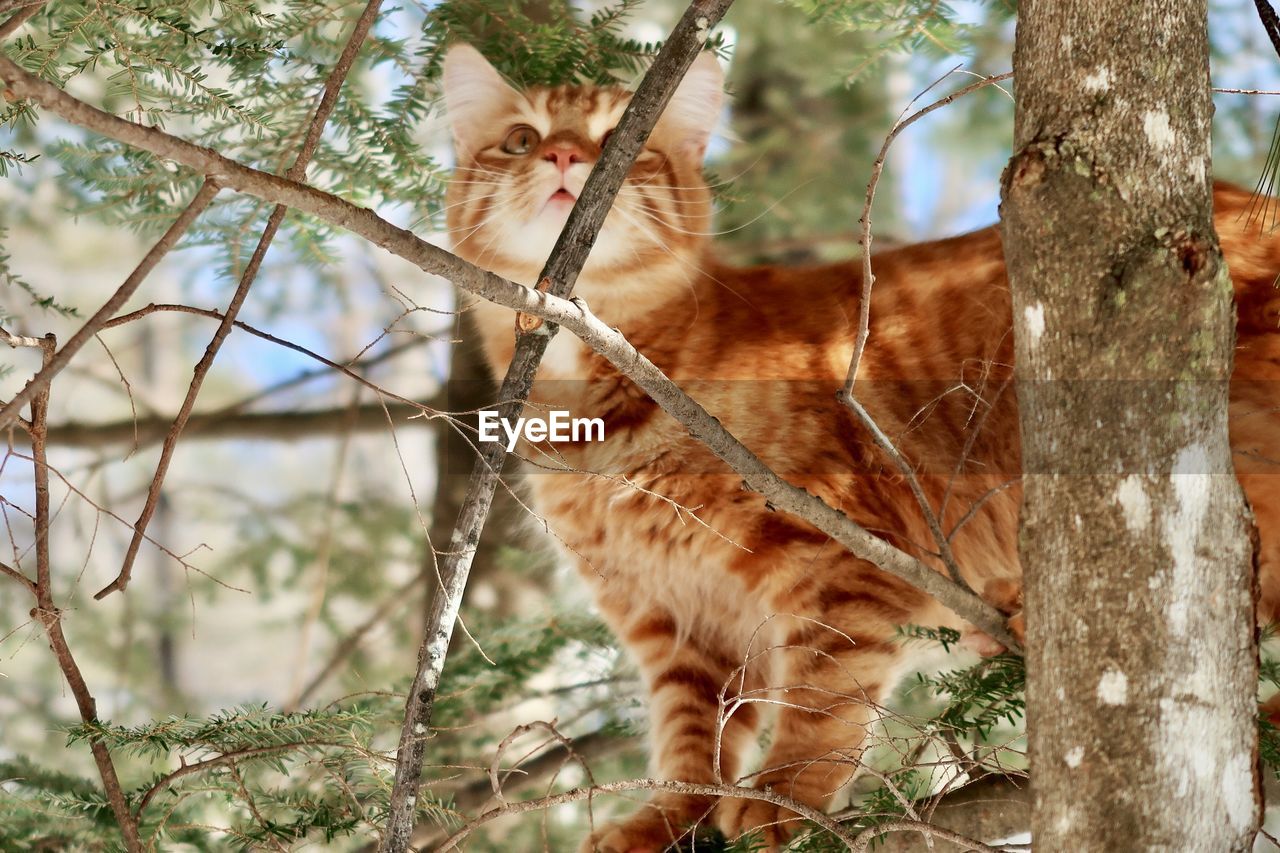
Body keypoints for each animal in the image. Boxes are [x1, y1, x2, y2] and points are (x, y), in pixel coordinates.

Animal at [440, 43, 1280, 845]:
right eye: (522, 140)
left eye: (622, 142)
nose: (563, 156)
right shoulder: (677, 623)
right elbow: (692, 745)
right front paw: (667, 822)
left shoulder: (832, 559)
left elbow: (820, 698)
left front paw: (779, 797)